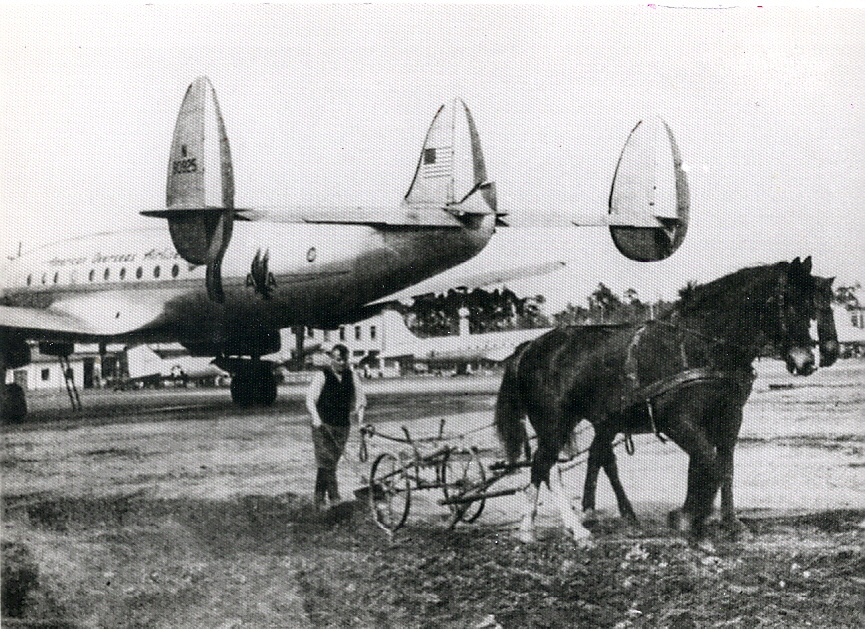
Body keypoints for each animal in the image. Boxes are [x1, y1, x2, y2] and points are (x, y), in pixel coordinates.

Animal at [496, 258, 820, 544]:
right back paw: (552, 528)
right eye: (789, 303)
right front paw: (688, 519)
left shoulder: (728, 420)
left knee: (589, 459)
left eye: (812, 307)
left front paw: (729, 523)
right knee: (543, 466)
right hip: (554, 422)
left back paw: (596, 519)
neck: (699, 345)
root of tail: (529, 347)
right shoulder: (677, 422)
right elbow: (709, 465)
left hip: (597, 420)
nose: (806, 362)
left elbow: (722, 469)